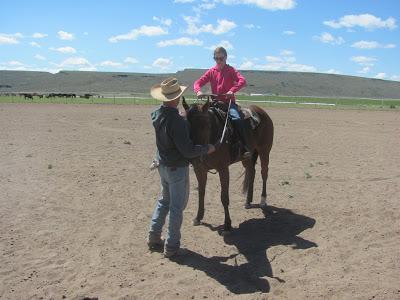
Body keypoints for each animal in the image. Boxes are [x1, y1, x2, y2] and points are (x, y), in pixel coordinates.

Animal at [182, 97, 274, 233]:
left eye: (206, 125)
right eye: (186, 124)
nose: (195, 157)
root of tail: (261, 112)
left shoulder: (223, 169)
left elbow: (224, 197)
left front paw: (227, 225)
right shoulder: (200, 169)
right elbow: (201, 193)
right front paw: (198, 218)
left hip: (264, 151)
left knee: (264, 173)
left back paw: (263, 200)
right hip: (247, 157)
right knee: (252, 172)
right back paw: (248, 202)